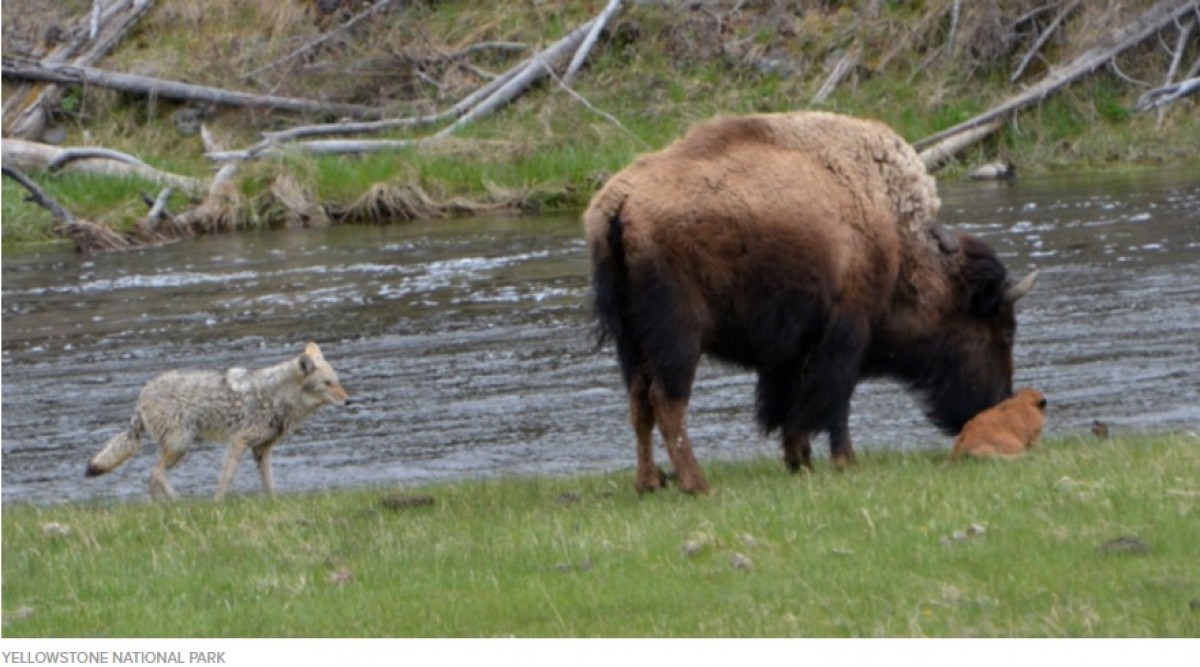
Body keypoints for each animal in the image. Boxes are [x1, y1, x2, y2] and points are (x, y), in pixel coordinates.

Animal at [580, 110, 1032, 494]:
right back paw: (697, 484)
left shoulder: (791, 351)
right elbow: (832, 402)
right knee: (667, 402)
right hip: (679, 337)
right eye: (1001, 328)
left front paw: (800, 460)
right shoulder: (846, 334)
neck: (897, 240)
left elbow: (791, 405)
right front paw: (844, 461)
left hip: (631, 342)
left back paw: (649, 482)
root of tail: (619, 204)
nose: (995, 404)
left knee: (639, 401)